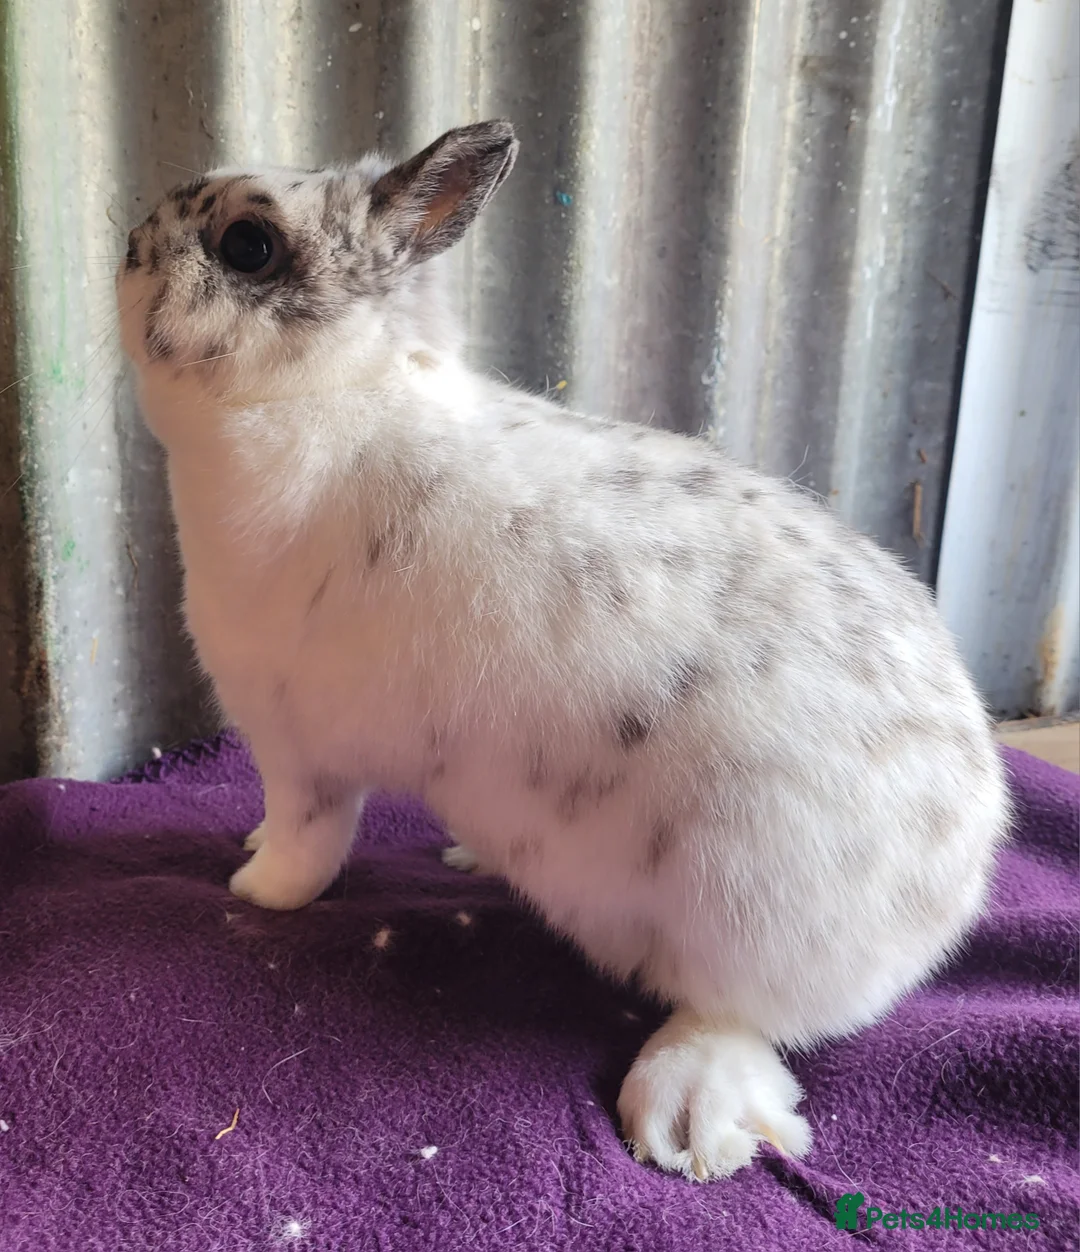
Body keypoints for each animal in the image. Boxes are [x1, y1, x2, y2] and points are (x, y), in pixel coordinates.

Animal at [116, 119, 1011, 1182]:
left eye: (247, 245)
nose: (127, 244)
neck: (330, 390)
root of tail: (956, 876)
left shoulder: (299, 749)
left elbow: (308, 841)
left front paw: (253, 887)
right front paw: (248, 851)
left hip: (743, 910)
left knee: (744, 1019)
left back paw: (681, 1112)